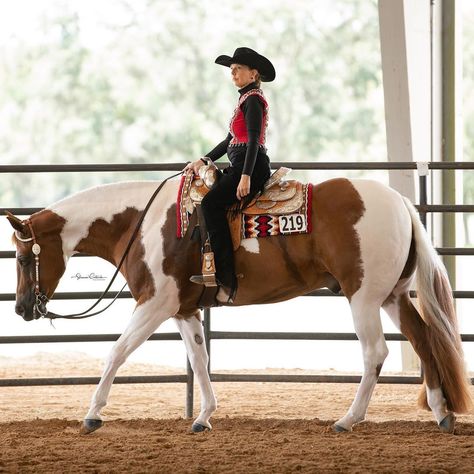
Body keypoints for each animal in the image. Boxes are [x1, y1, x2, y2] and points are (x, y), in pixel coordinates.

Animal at [5, 174, 472, 434]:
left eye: (24, 257)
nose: (23, 308)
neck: (141, 223)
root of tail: (402, 203)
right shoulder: (184, 309)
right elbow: (199, 359)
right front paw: (203, 417)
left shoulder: (155, 304)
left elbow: (116, 352)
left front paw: (92, 415)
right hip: (393, 295)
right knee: (423, 340)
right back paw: (440, 413)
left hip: (364, 297)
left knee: (375, 352)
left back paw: (347, 420)